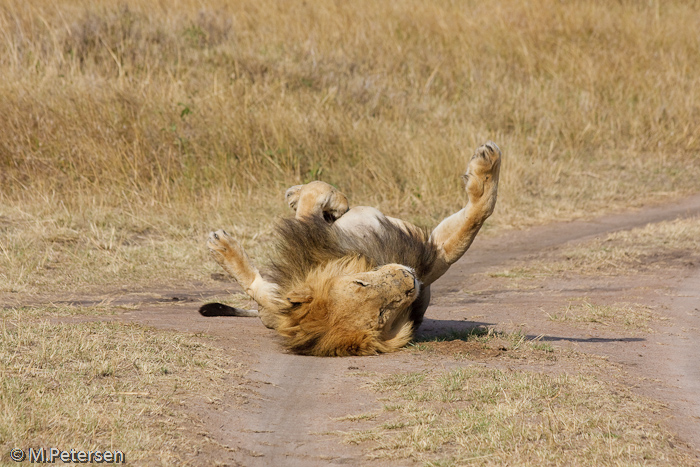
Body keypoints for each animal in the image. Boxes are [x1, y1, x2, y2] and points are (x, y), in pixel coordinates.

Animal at [200, 141, 500, 356]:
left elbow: (472, 220)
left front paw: (488, 162)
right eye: (361, 285)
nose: (409, 279)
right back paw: (221, 245)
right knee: (258, 287)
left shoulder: (431, 260)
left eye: (384, 312)